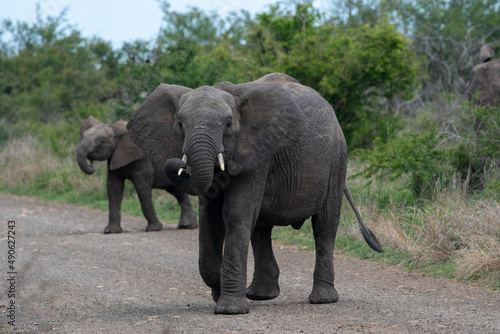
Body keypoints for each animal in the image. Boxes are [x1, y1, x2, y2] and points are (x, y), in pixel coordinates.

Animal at [126, 72, 382, 314]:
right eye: (180, 124)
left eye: (228, 124)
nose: (178, 163)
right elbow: (211, 218)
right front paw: (219, 294)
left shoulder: (257, 152)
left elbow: (235, 213)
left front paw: (230, 309)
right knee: (261, 229)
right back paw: (261, 295)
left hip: (337, 159)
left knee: (325, 225)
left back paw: (322, 299)